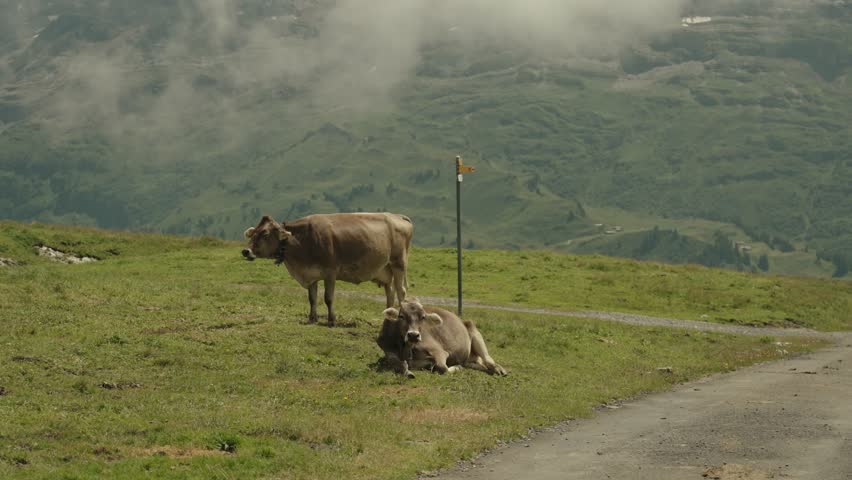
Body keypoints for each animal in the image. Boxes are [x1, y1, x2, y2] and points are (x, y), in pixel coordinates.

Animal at [242, 213, 413, 326]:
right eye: (253, 233)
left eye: (264, 233)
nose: (246, 251)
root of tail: (398, 216)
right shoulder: (310, 273)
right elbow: (312, 298)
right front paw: (312, 318)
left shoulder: (330, 272)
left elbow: (328, 298)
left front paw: (332, 320)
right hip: (386, 269)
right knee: (390, 292)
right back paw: (387, 318)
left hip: (398, 263)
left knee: (401, 291)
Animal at [377, 301, 507, 378]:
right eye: (401, 316)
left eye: (423, 317)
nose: (413, 335)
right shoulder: (388, 349)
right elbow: (395, 362)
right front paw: (409, 370)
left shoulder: (439, 351)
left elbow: (442, 368)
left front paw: (455, 368)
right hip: (469, 360)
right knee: (479, 365)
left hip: (474, 331)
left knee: (488, 360)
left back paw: (500, 370)